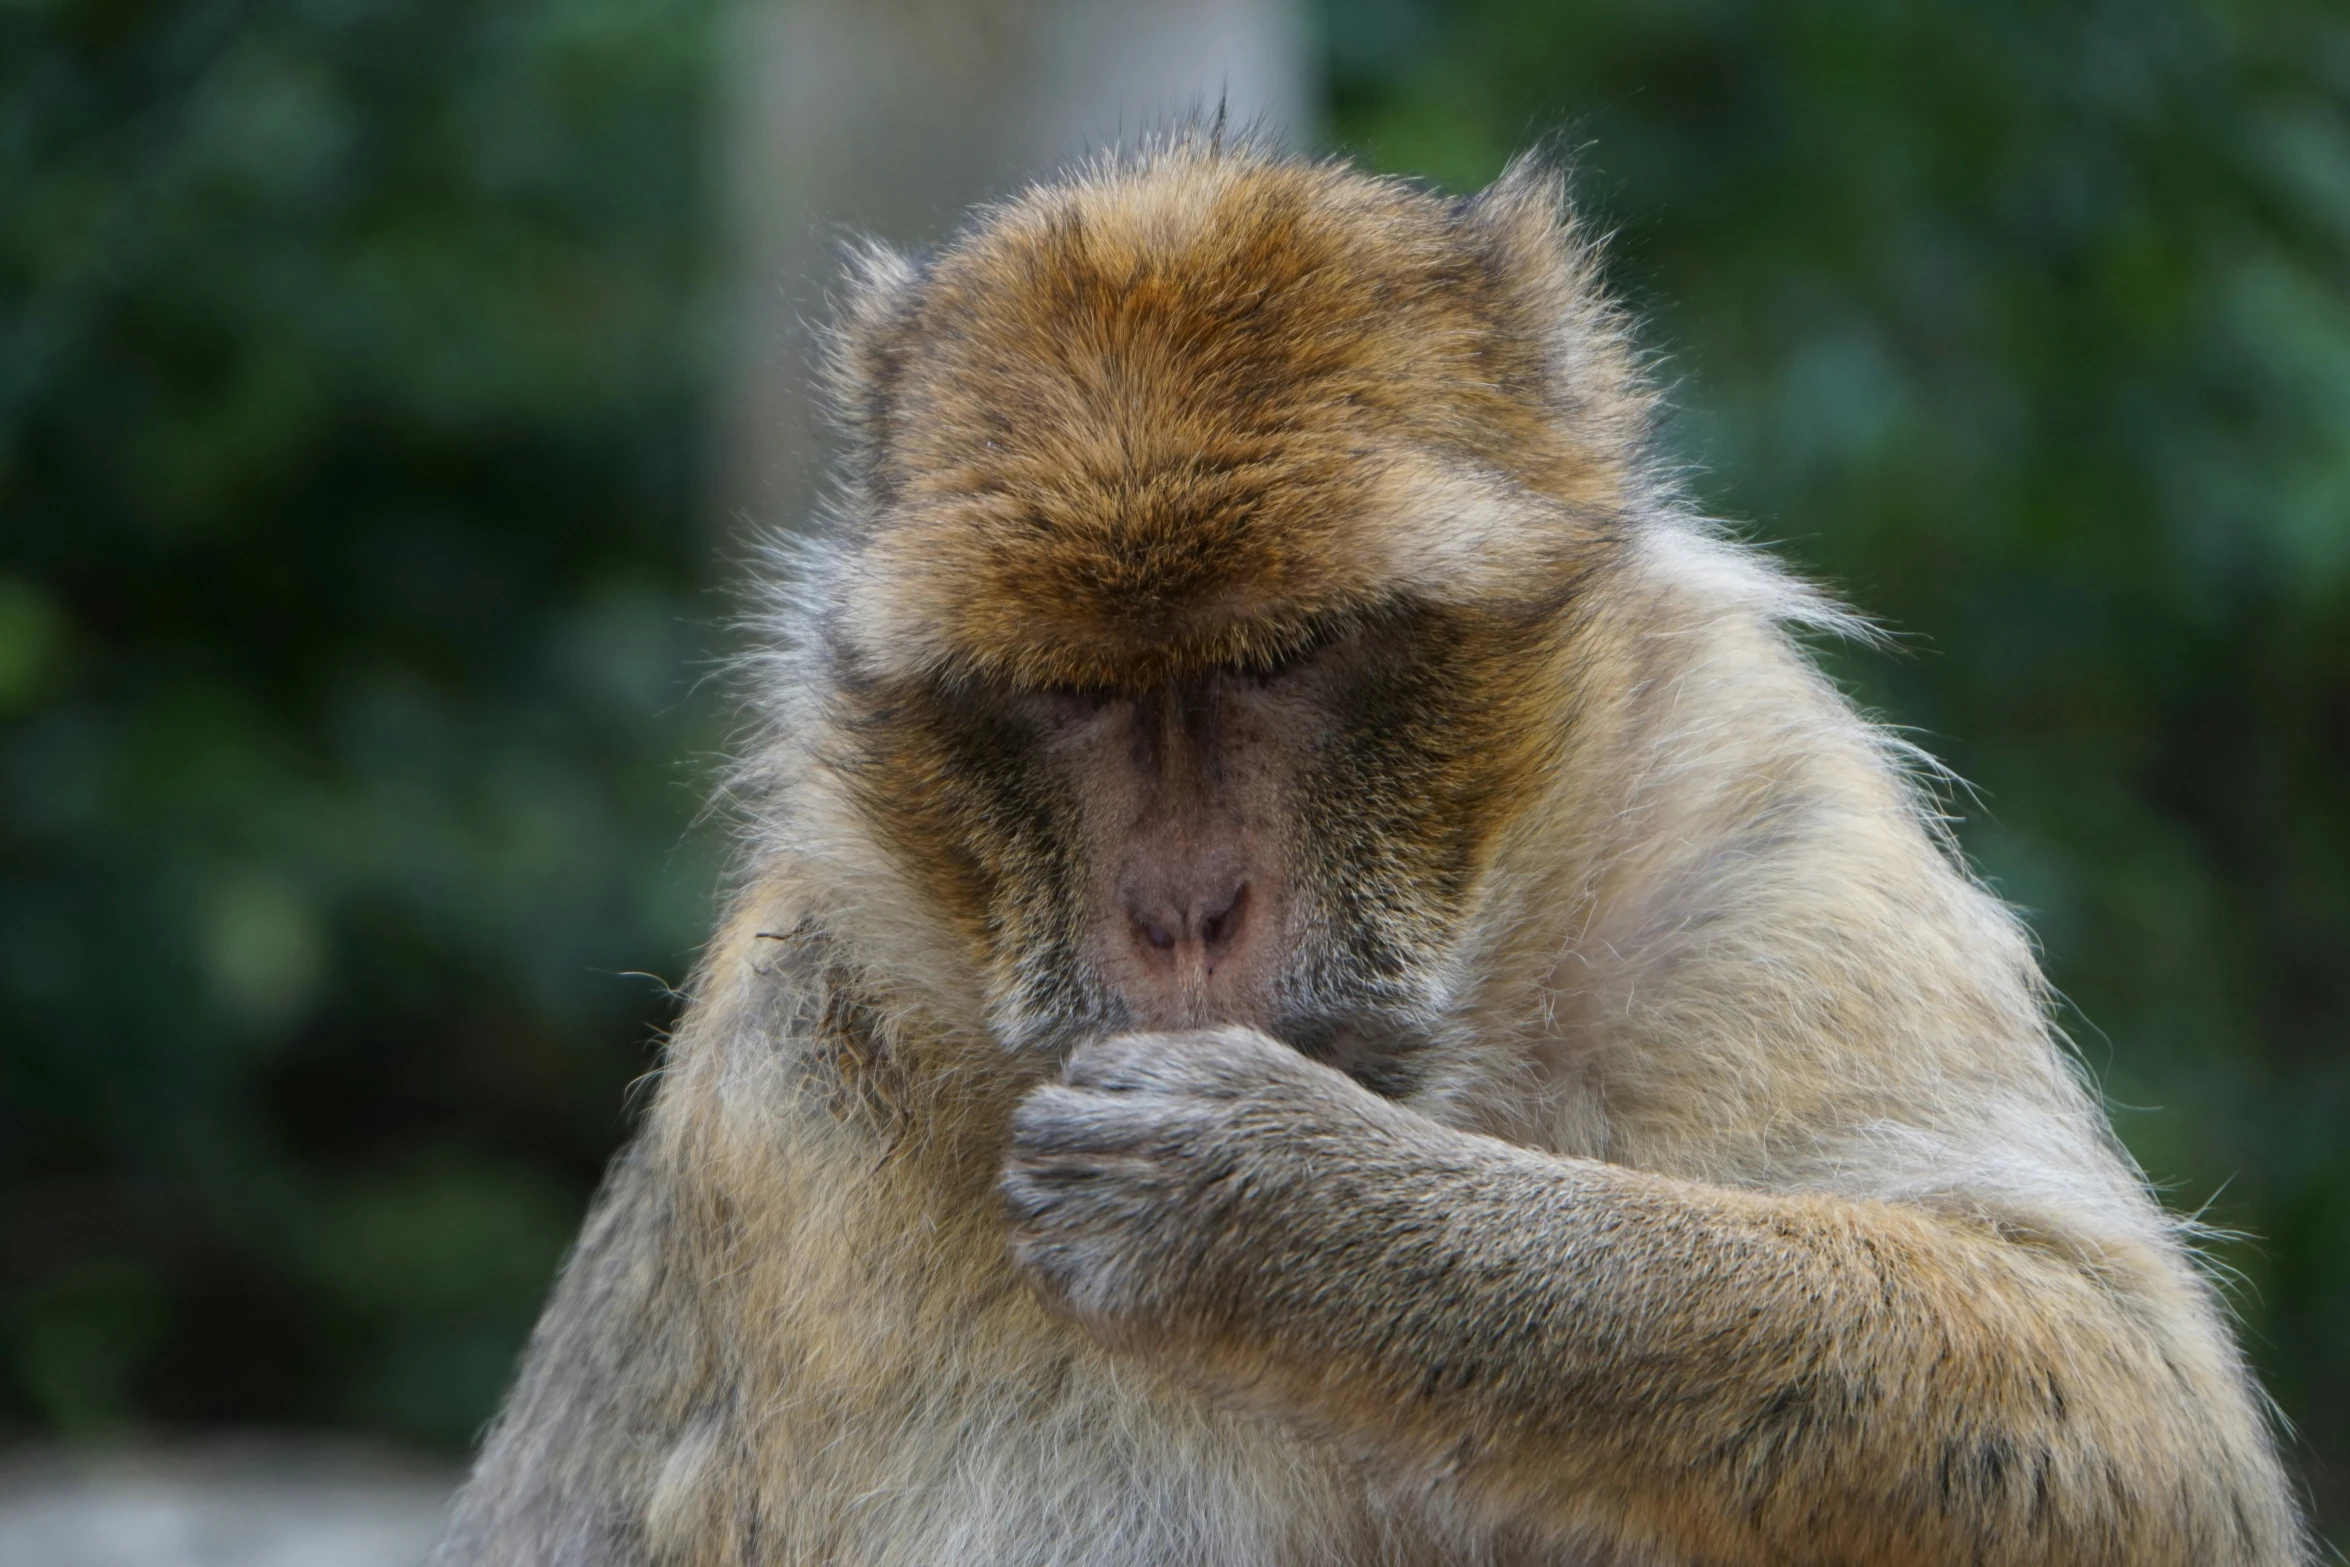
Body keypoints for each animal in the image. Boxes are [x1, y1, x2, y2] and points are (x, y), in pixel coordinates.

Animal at [427, 140, 2312, 1559]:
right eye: (1068, 697)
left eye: (1282, 658)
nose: (1182, 903)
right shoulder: (794, 1097)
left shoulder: (1765, 849)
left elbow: (2129, 1406)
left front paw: (1286, 1208)